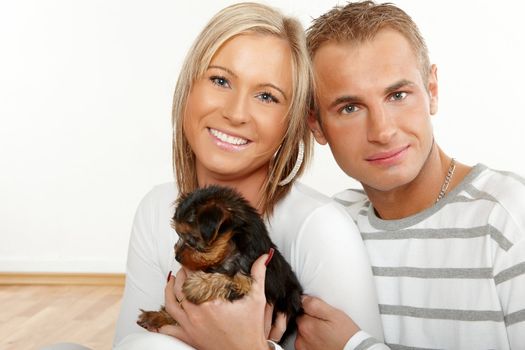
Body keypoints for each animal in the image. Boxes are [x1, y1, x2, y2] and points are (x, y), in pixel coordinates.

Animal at [137, 185, 300, 344]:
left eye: (192, 240)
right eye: (179, 235)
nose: (177, 256)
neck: (231, 250)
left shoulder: (245, 279)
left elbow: (226, 279)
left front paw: (196, 286)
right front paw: (157, 316)